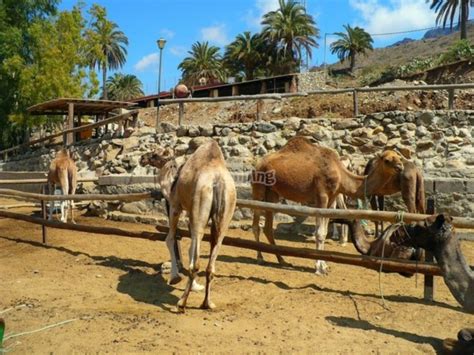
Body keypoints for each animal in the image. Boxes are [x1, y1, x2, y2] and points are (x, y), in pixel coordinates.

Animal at [140, 140, 237, 312]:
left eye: (155, 154)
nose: (142, 158)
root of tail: (218, 181)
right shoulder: (192, 214)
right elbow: (191, 247)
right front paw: (195, 286)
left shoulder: (175, 206)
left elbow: (170, 239)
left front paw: (174, 277)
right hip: (226, 214)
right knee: (211, 265)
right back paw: (207, 303)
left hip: (200, 204)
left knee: (195, 264)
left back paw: (181, 303)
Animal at [252, 136, 404, 276]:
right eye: (387, 160)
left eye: (398, 156)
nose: (400, 167)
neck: (340, 173)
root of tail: (258, 164)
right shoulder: (322, 195)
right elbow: (319, 233)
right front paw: (319, 268)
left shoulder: (331, 198)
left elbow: (324, 232)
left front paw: (324, 265)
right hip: (258, 187)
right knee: (256, 224)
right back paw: (260, 258)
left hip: (272, 193)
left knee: (268, 227)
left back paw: (282, 260)